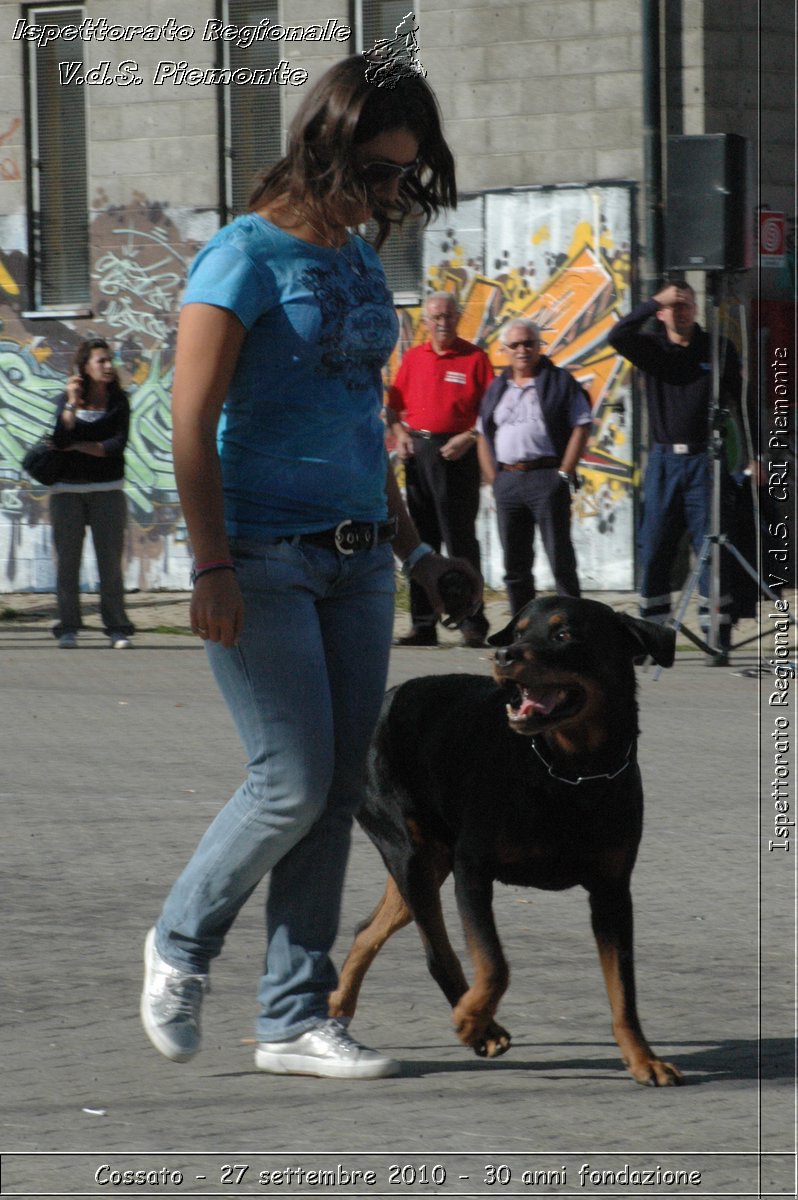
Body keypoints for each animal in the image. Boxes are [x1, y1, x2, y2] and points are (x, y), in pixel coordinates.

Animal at [326, 595, 681, 1084]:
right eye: (518, 632)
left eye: (564, 634)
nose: (502, 655)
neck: (570, 771)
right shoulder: (473, 869)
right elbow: (494, 964)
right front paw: (472, 1020)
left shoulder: (612, 891)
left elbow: (623, 990)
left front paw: (643, 1057)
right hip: (410, 850)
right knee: (438, 951)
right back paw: (479, 1024)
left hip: (427, 861)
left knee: (369, 929)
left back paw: (337, 1004)